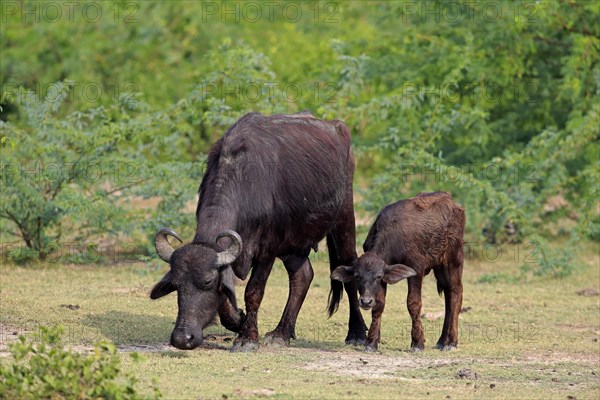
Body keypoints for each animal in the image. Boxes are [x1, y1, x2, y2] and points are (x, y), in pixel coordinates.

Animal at [150, 111, 366, 350]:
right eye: (176, 284)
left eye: (206, 282)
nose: (182, 338)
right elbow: (225, 297)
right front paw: (238, 321)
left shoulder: (267, 250)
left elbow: (253, 292)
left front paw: (248, 337)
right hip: (293, 244)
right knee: (303, 276)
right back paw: (282, 332)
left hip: (344, 218)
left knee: (349, 267)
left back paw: (357, 333)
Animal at [332, 192, 464, 352]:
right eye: (357, 276)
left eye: (378, 276)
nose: (365, 301)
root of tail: (453, 203)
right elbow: (379, 305)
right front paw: (371, 342)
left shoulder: (416, 269)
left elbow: (413, 303)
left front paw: (418, 342)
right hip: (439, 267)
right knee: (448, 294)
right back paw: (442, 341)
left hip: (453, 260)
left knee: (456, 292)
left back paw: (451, 342)